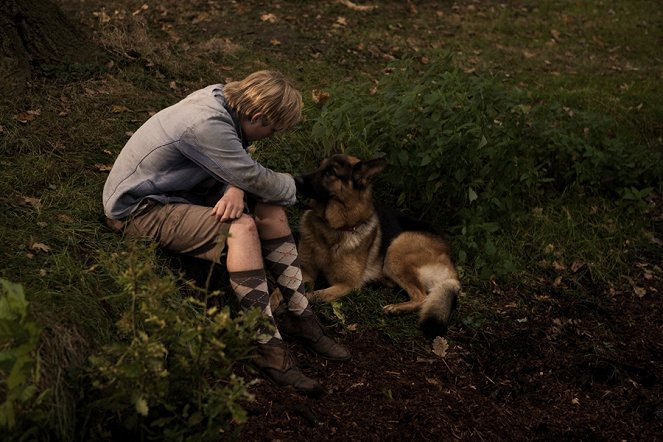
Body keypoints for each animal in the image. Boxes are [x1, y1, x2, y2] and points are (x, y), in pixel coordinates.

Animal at [296, 154, 462, 336]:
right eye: (319, 166)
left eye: (331, 172)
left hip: (397, 249)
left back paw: (396, 308)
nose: (296, 179)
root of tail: (450, 263)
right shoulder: (306, 270)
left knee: (422, 296)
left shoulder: (346, 284)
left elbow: (314, 295)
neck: (332, 228)